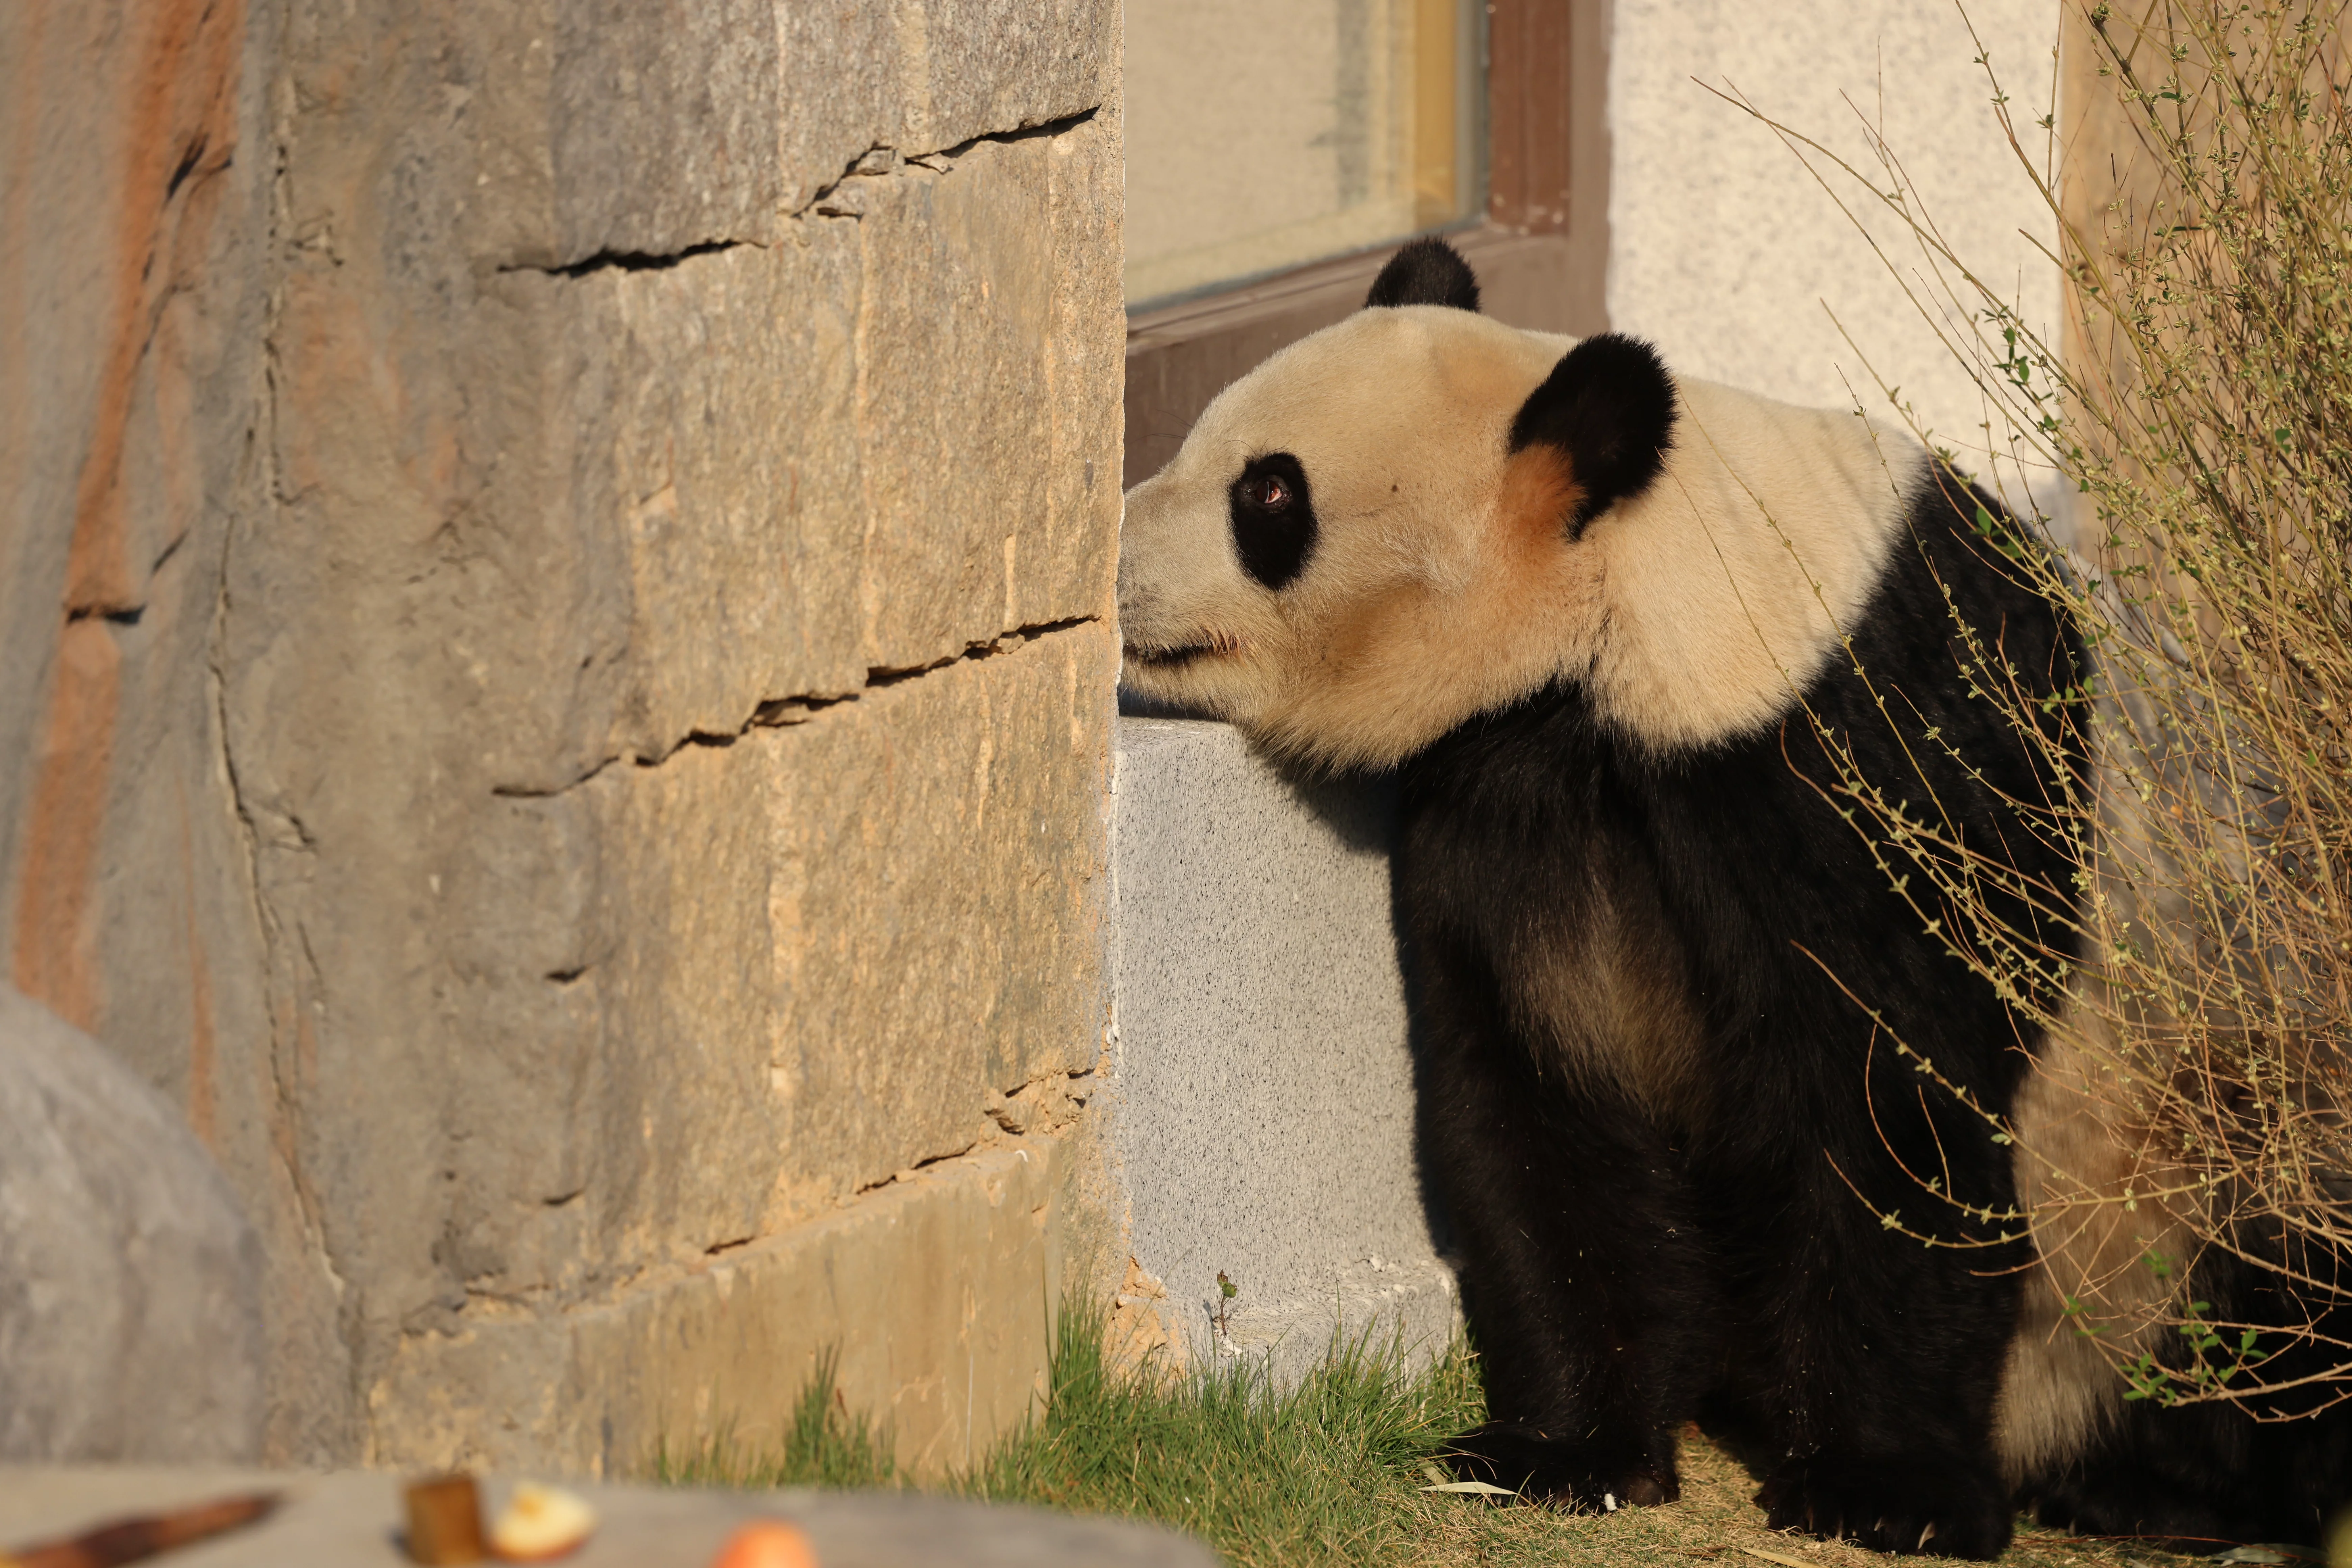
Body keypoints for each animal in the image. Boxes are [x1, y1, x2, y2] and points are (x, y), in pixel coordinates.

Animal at [1117, 236, 2352, 1556]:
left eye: (1269, 497)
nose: (1114, 566)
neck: (1653, 591)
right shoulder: (1529, 796)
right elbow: (1543, 1092)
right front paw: (1558, 1449)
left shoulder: (1871, 769)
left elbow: (1893, 1110)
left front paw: (1884, 1490)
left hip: (2195, 1119)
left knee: (2275, 1273)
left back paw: (2168, 1485)